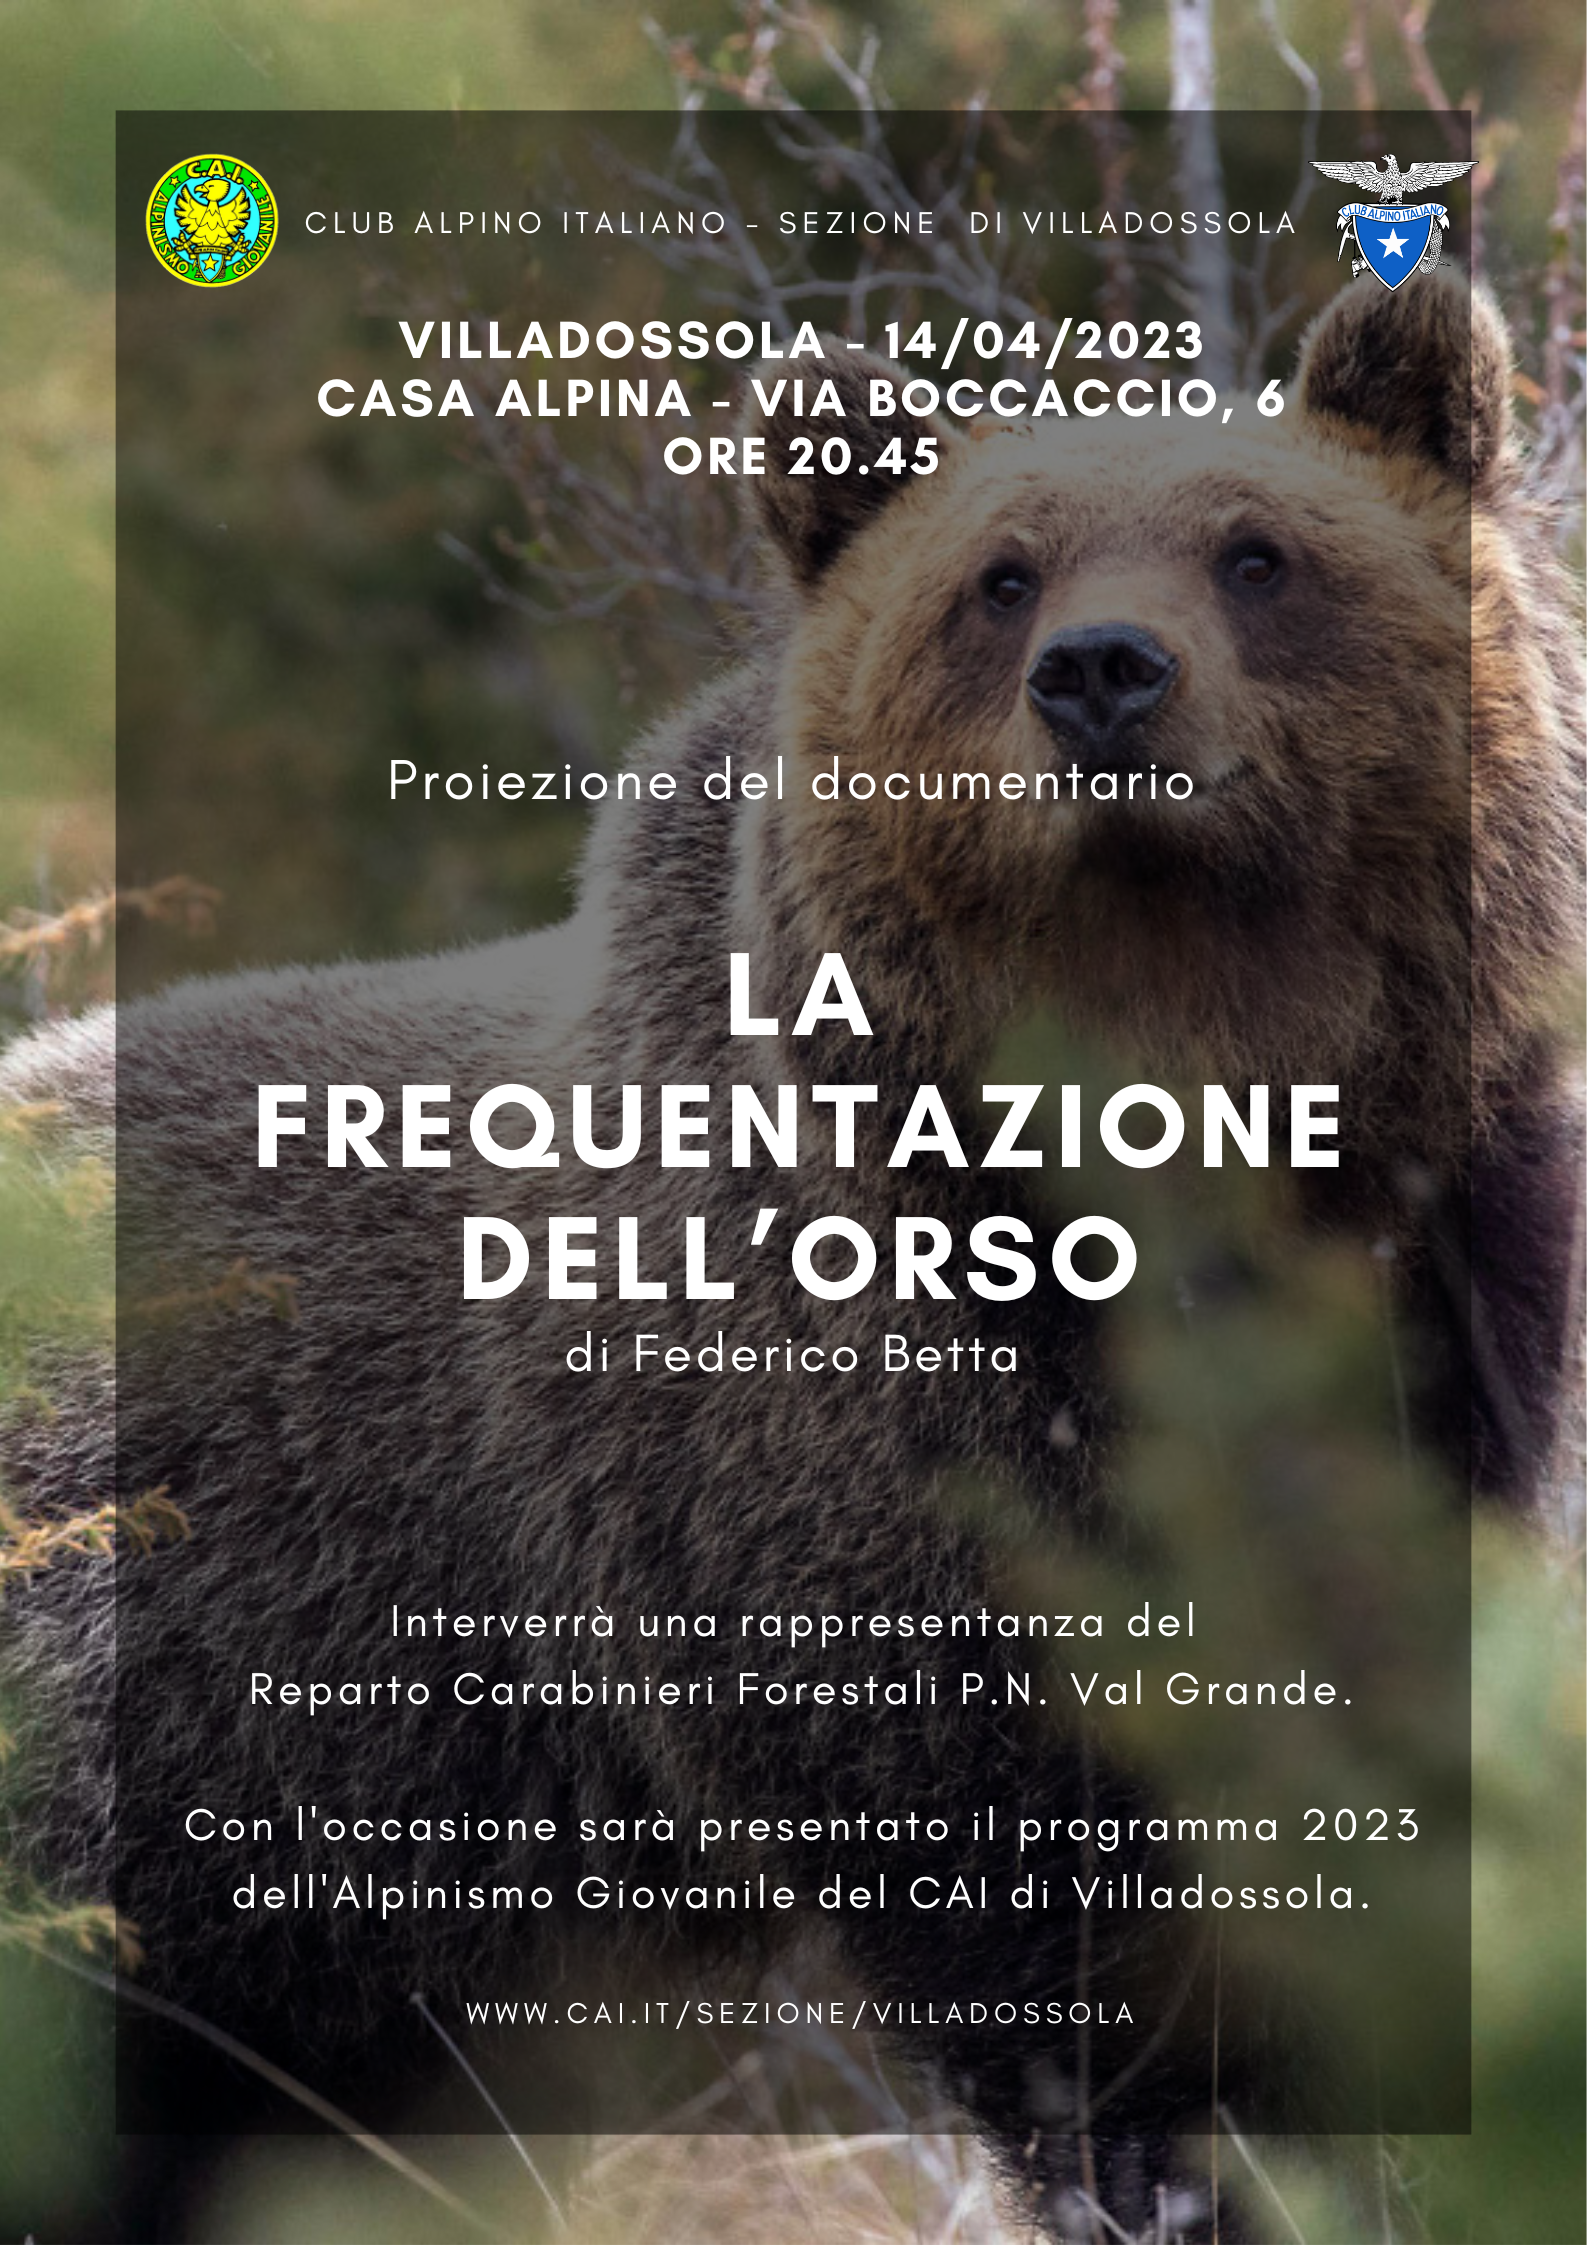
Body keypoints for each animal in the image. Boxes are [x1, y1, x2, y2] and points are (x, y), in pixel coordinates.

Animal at [0, 271, 1580, 2242]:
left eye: (1256, 550)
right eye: (1000, 575)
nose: (1102, 673)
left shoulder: (1445, 1308)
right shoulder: (841, 1448)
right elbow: (1026, 1875)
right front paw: (1172, 2154)